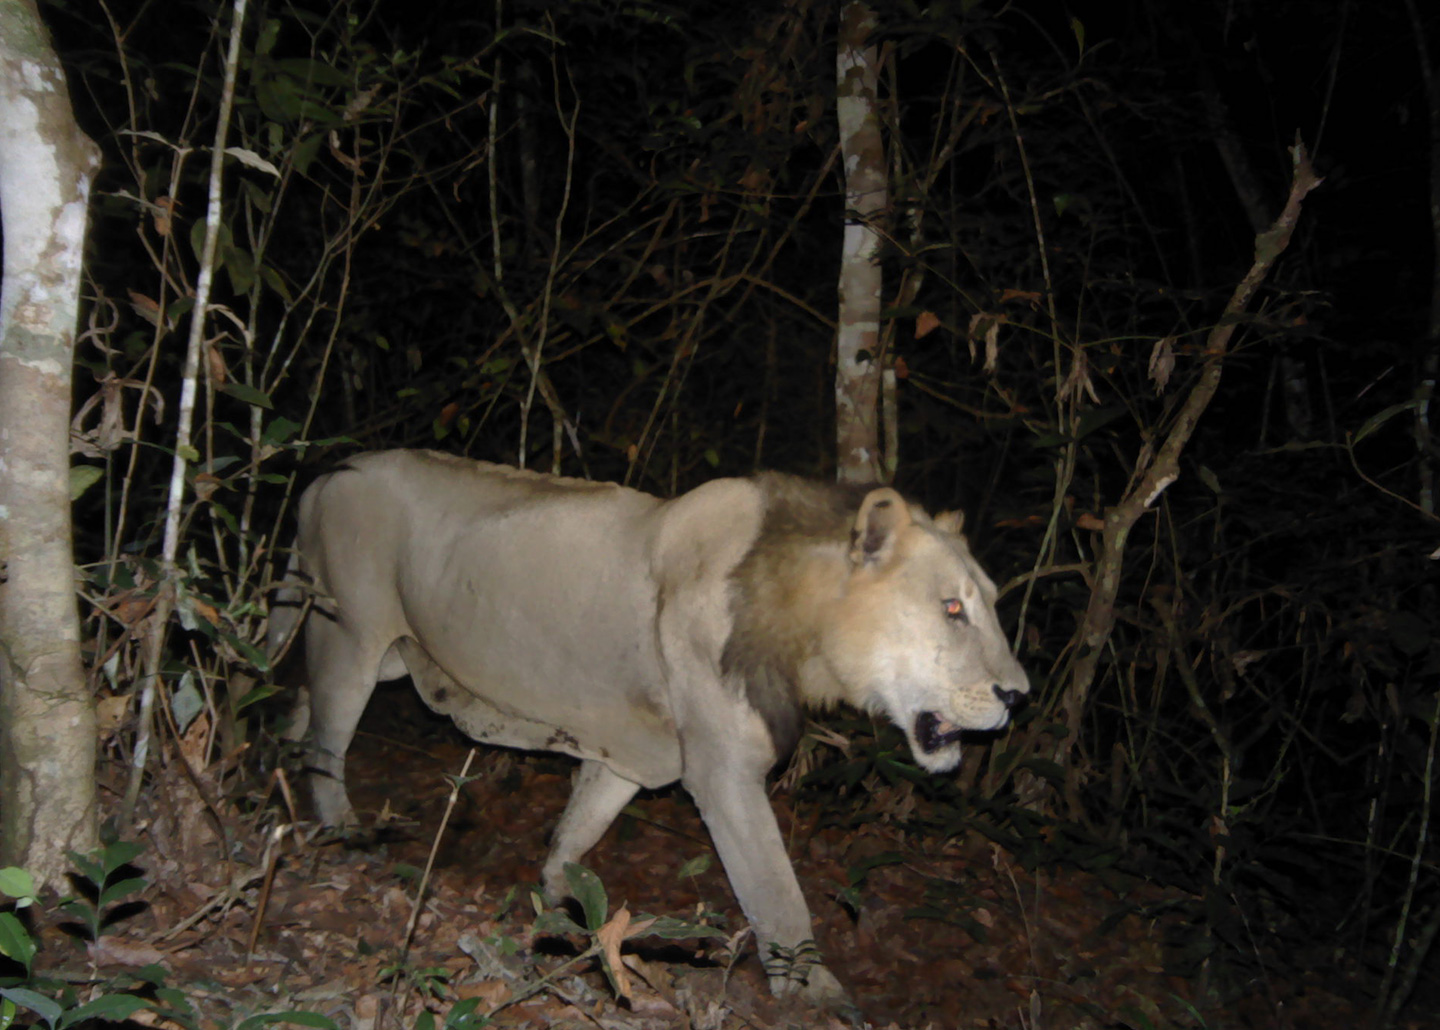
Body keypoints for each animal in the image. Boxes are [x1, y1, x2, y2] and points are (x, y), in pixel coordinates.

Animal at [270, 450, 1029, 1011]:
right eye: (952, 608)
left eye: (989, 603)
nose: (1018, 695)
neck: (805, 633)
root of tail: (329, 472)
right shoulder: (723, 773)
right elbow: (777, 895)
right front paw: (816, 993)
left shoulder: (631, 754)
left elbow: (577, 832)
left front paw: (561, 911)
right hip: (350, 634)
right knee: (325, 742)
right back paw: (341, 832)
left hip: (388, 656)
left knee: (297, 707)